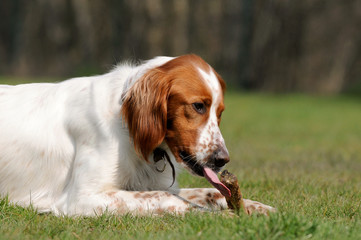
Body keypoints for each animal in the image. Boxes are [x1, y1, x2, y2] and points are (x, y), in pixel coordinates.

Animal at [0, 54, 272, 216]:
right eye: (198, 106)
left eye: (220, 112)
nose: (222, 159)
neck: (126, 123)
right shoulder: (82, 198)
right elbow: (167, 197)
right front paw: (218, 214)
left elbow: (208, 192)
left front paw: (257, 207)